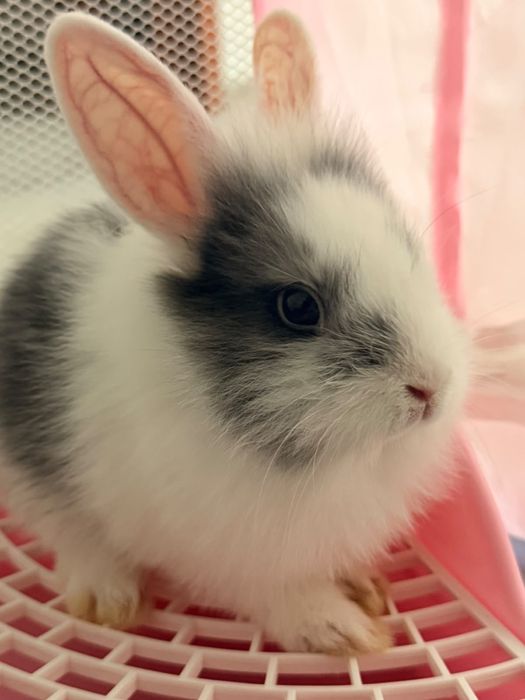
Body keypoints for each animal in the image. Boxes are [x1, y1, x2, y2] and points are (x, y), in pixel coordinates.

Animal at [0, 10, 470, 654]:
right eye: (298, 307)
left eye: (407, 248)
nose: (432, 388)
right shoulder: (224, 556)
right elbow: (277, 596)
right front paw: (345, 632)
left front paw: (366, 588)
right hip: (33, 473)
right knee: (69, 532)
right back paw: (109, 600)